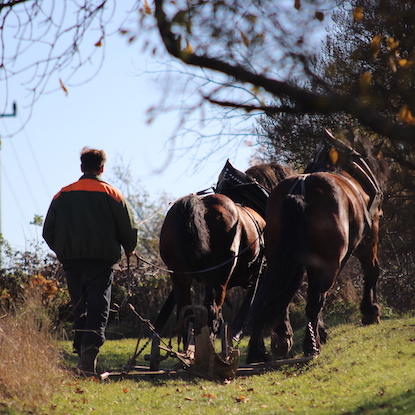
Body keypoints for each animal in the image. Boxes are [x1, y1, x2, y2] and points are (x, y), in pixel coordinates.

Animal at [245, 133, 388, 364]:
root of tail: (301, 190)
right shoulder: (370, 233)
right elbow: (371, 270)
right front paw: (370, 311)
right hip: (331, 260)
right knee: (316, 298)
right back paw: (310, 346)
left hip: (278, 259)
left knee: (272, 296)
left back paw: (260, 350)